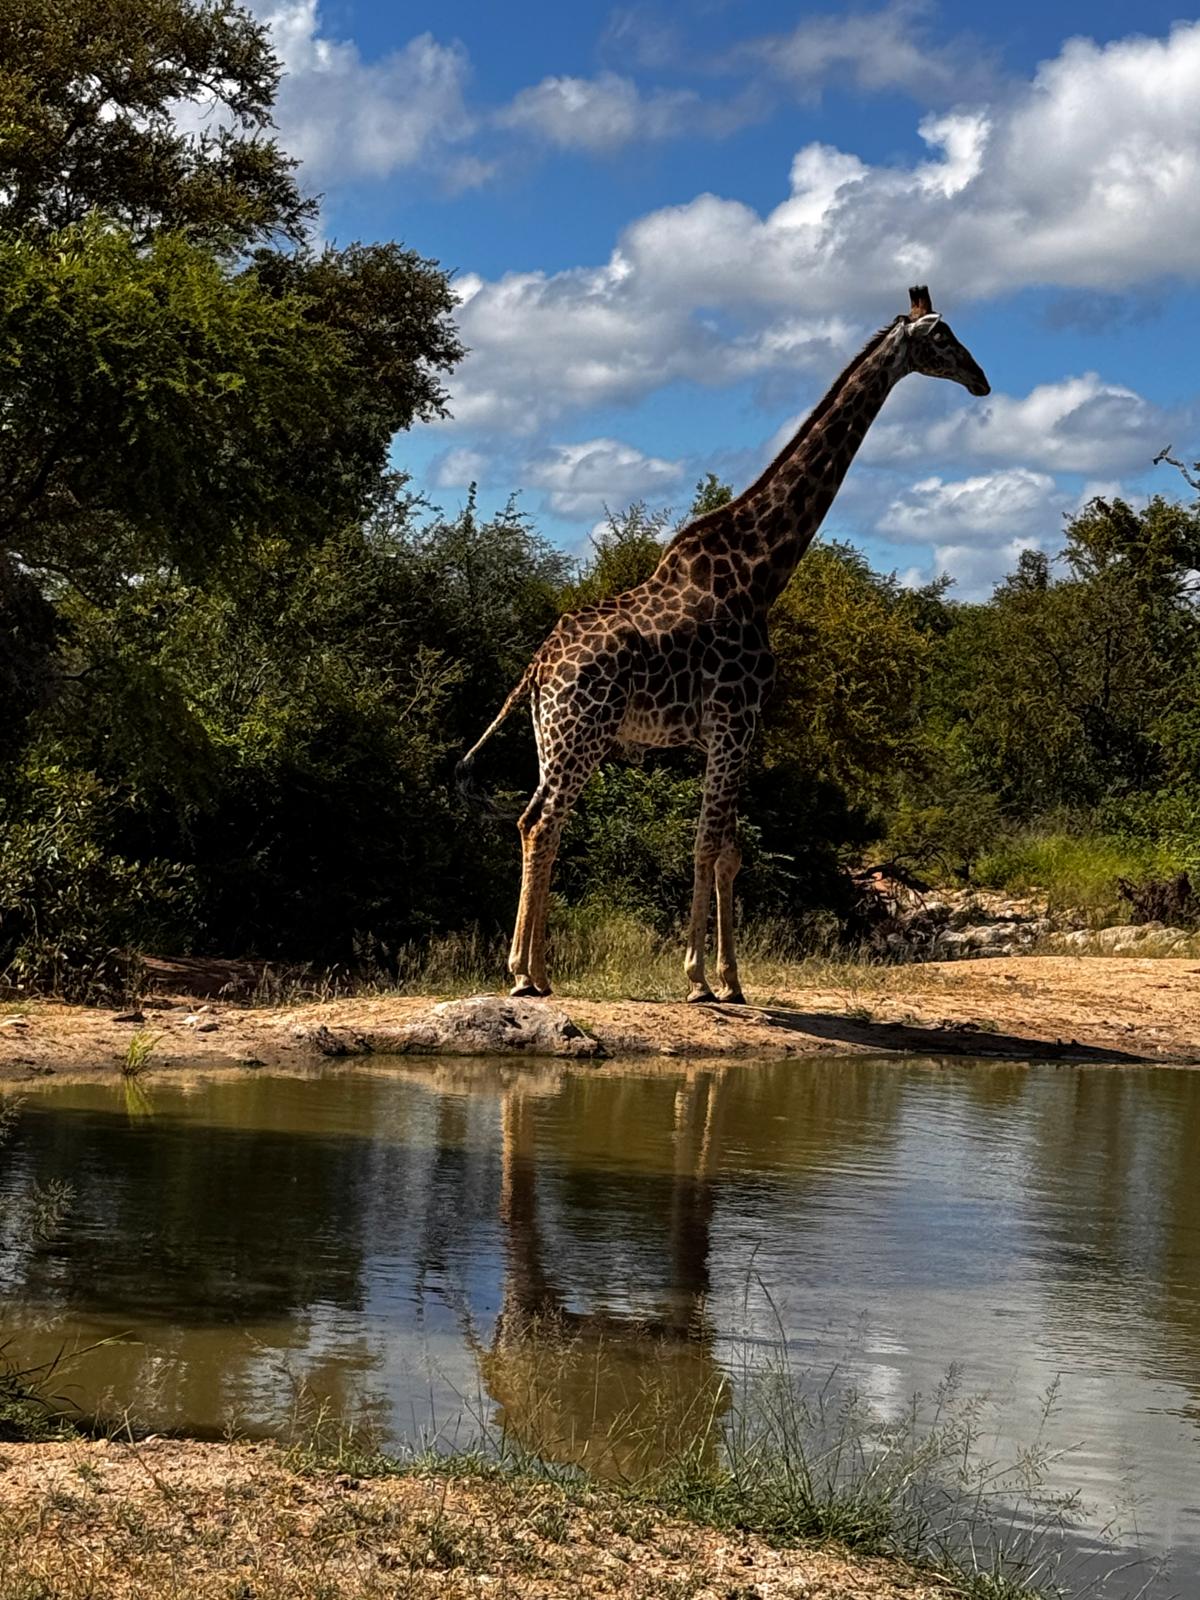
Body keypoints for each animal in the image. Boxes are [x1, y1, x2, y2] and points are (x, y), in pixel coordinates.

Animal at [457, 286, 990, 1003]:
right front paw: (699, 979)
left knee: (536, 820)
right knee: (543, 823)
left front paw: (732, 980)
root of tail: (538, 666)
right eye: (941, 337)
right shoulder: (736, 721)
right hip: (581, 732)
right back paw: (521, 974)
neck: (759, 574)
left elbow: (731, 851)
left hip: (553, 734)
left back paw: (538, 972)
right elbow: (708, 846)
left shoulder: (733, 731)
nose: (981, 380)